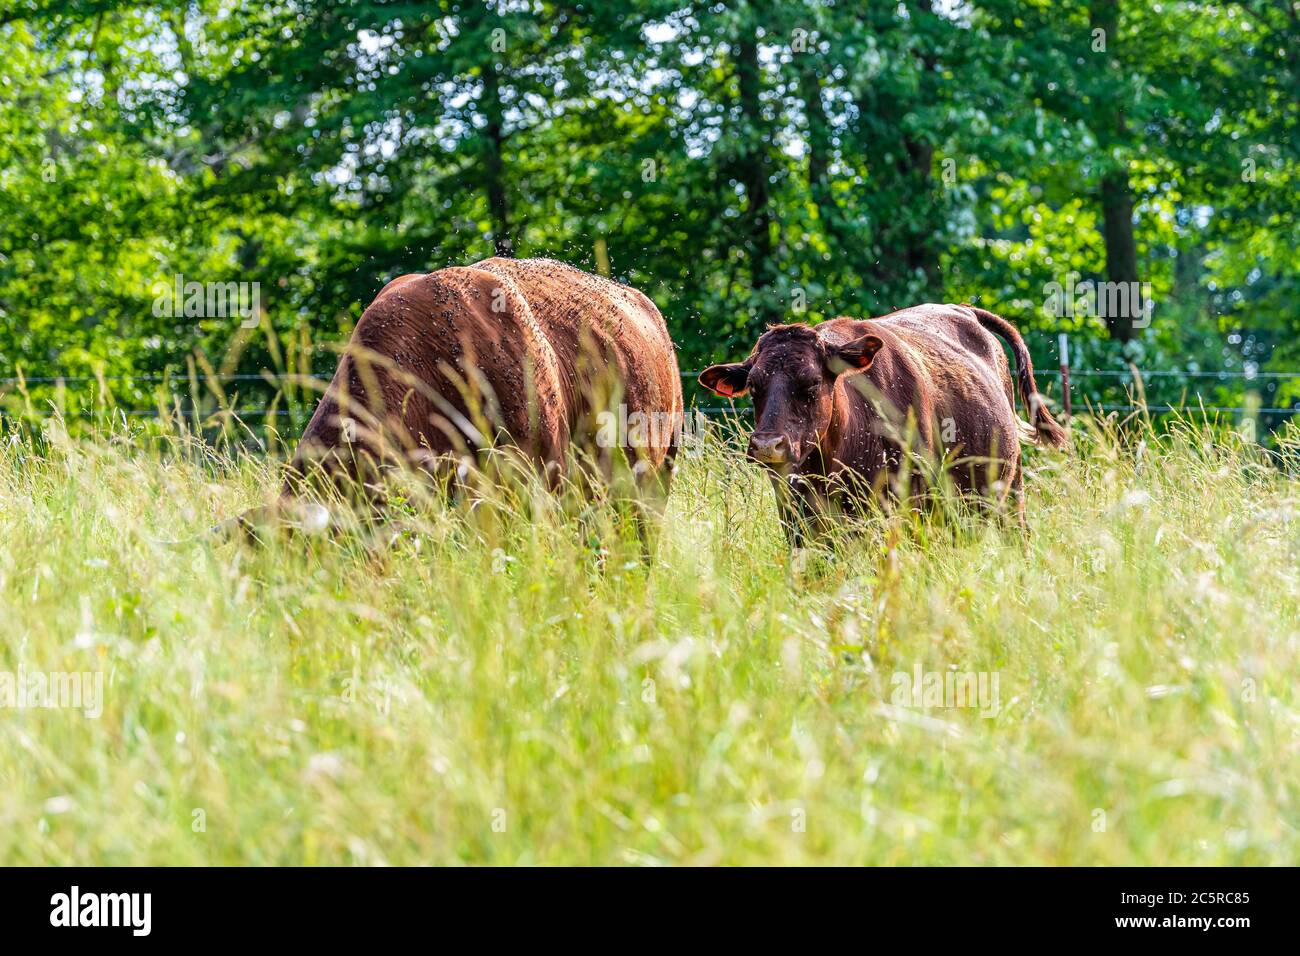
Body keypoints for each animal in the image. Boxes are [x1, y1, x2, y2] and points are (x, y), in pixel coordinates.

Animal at [702, 306, 1066, 546]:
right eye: (754, 386)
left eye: (812, 382)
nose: (767, 445)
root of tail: (961, 309)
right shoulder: (795, 517)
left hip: (1010, 491)